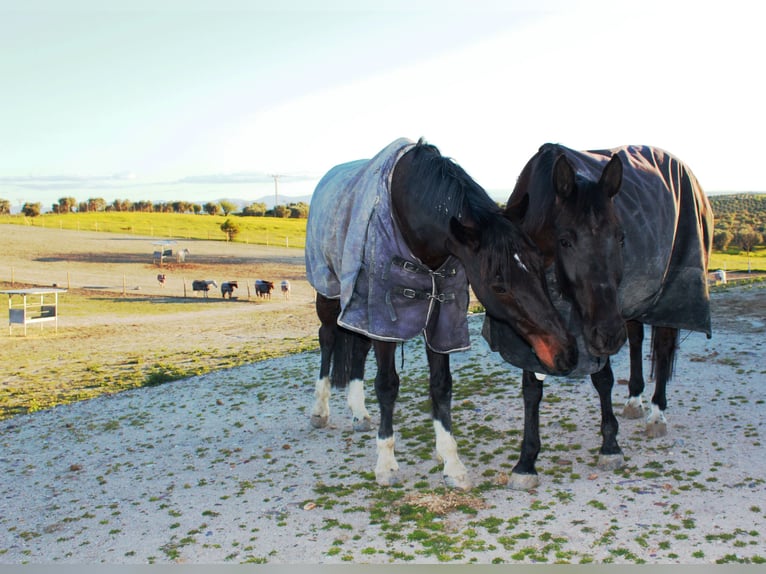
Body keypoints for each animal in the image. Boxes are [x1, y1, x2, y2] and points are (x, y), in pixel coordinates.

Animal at [306, 138, 576, 490]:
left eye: (540, 266)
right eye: (499, 285)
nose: (566, 353)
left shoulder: (442, 318)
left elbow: (441, 385)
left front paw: (451, 462)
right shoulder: (384, 319)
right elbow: (387, 385)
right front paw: (386, 464)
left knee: (357, 347)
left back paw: (359, 413)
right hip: (329, 291)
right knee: (327, 339)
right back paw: (320, 410)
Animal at [486, 144, 712, 490]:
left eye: (620, 237)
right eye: (565, 240)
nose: (608, 335)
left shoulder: (591, 328)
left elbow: (602, 379)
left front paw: (610, 446)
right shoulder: (532, 327)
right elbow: (531, 389)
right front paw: (526, 462)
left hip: (661, 299)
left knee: (662, 346)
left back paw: (656, 414)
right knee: (636, 339)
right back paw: (634, 400)